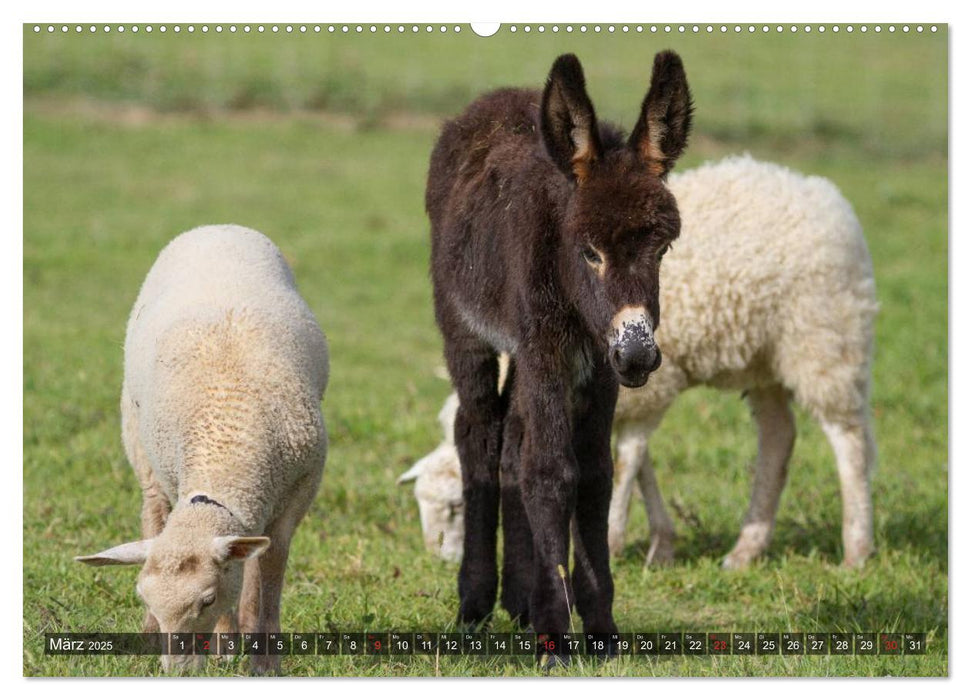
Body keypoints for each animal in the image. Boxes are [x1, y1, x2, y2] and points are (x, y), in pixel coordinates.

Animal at [76, 224, 326, 672]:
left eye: (206, 599)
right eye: (143, 595)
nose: (178, 672)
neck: (226, 444)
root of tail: (218, 227)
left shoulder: (303, 484)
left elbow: (271, 566)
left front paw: (265, 659)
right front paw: (227, 648)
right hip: (141, 447)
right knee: (153, 514)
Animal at [402, 159, 880, 576]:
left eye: (455, 507)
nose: (440, 561)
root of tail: (819, 191)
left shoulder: (643, 382)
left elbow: (629, 458)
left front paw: (612, 539)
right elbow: (641, 461)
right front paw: (661, 543)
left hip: (823, 340)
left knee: (849, 441)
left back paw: (856, 550)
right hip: (765, 356)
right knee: (778, 437)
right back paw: (746, 549)